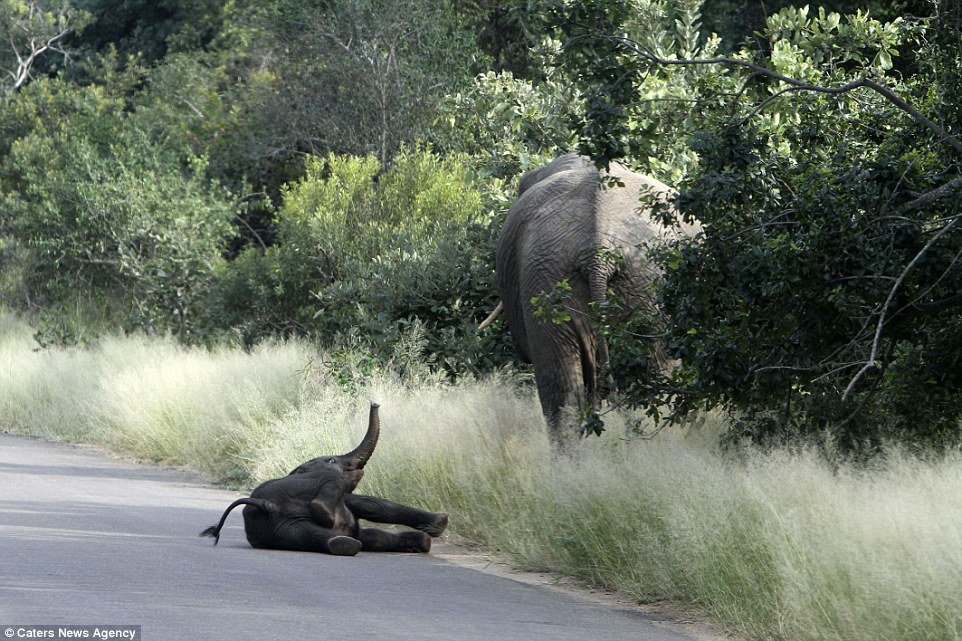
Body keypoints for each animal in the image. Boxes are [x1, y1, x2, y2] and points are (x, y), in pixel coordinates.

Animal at [202, 408, 446, 552]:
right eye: (331, 459)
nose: (374, 403)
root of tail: (266, 504)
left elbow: (375, 533)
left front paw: (425, 540)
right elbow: (372, 505)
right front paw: (440, 523)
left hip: (280, 531)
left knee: (315, 536)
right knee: (331, 487)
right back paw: (331, 524)